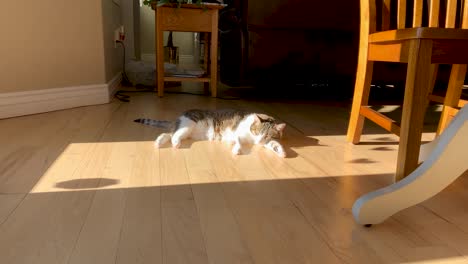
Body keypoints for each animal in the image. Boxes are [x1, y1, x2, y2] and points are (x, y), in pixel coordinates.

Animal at [135, 109, 288, 157]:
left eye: (267, 135)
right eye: (257, 132)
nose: (259, 141)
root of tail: (179, 117)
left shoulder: (265, 142)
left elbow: (273, 144)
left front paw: (281, 151)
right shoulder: (237, 132)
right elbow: (238, 141)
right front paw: (236, 150)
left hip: (187, 132)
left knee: (169, 134)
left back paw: (159, 142)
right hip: (188, 125)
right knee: (174, 135)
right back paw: (175, 144)